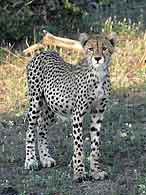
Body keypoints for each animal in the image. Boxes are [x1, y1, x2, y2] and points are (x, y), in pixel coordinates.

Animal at [25, 32, 116, 182]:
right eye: (91, 49)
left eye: (104, 48)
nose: (97, 58)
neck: (98, 74)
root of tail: (45, 52)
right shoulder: (77, 114)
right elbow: (79, 146)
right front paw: (79, 172)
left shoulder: (98, 112)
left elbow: (95, 145)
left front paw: (96, 171)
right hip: (35, 102)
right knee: (30, 130)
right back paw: (31, 161)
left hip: (51, 110)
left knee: (41, 127)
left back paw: (45, 158)